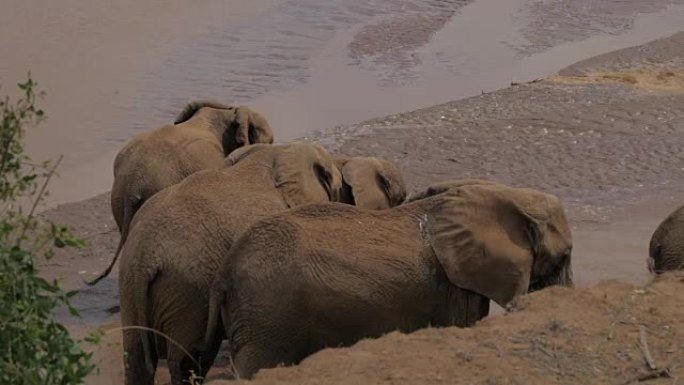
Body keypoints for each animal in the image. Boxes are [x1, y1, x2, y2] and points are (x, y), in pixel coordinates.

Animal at [116, 142, 342, 384]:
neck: (275, 152)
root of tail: (144, 257)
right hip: (187, 290)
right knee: (190, 359)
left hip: (132, 286)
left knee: (136, 358)